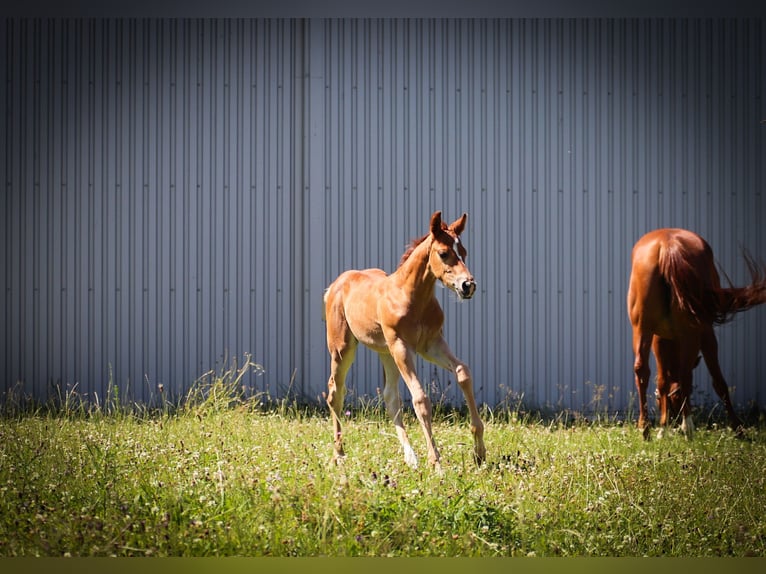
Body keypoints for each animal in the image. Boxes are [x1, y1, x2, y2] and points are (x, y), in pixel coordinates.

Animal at [324, 212, 486, 472]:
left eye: (464, 251)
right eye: (443, 253)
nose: (468, 286)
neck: (411, 297)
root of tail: (335, 285)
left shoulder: (431, 344)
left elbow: (463, 372)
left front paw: (479, 452)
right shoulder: (403, 346)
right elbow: (420, 398)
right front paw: (436, 463)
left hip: (386, 352)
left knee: (391, 397)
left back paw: (410, 458)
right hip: (343, 347)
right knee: (334, 393)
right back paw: (339, 454)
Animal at [632, 230, 766, 440]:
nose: (673, 420)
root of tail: (667, 243)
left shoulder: (659, 339)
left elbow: (662, 381)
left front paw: (662, 428)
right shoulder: (706, 334)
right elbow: (719, 382)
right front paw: (738, 428)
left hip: (641, 328)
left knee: (642, 369)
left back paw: (645, 429)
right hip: (692, 332)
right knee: (686, 374)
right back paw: (688, 427)